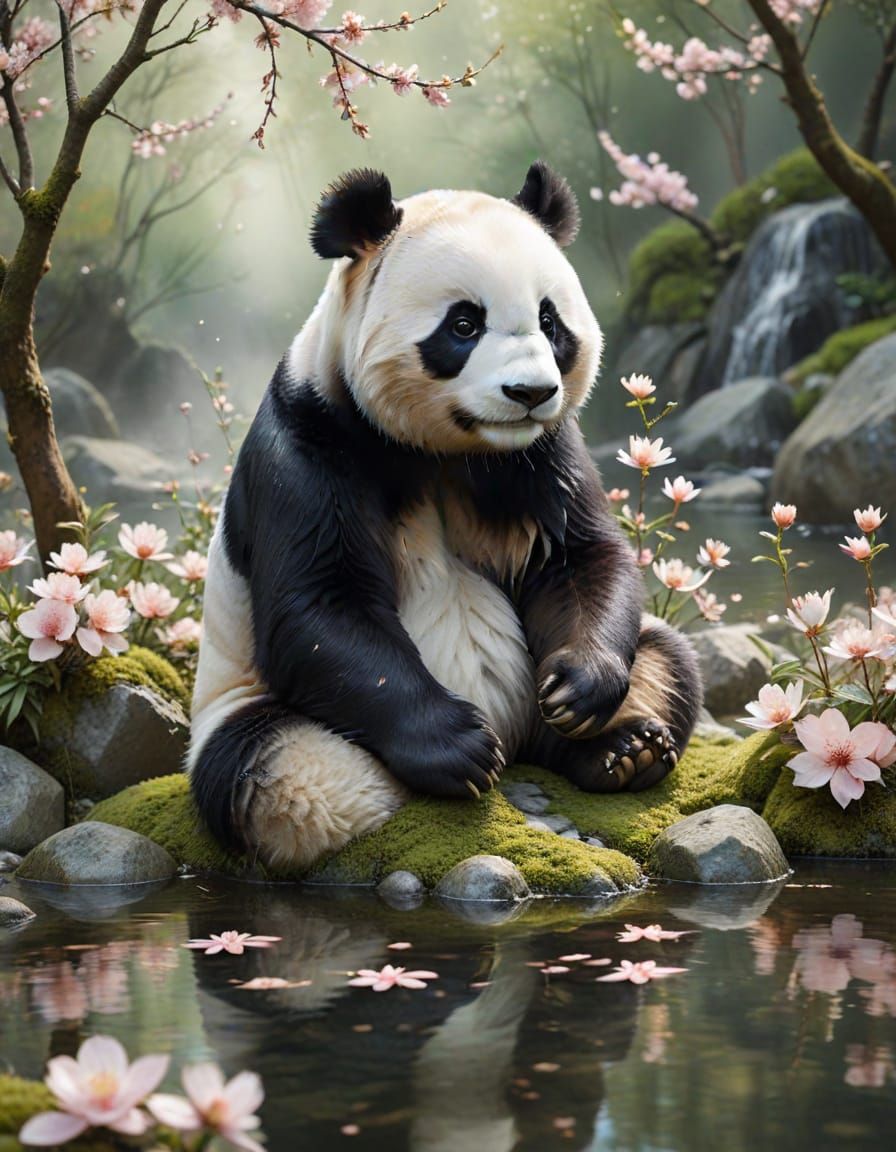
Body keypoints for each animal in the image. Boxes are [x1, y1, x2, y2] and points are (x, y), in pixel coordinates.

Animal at [188, 163, 702, 872]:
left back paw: (622, 749)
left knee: (666, 659)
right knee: (283, 774)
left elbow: (580, 556)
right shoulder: (309, 444)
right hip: (243, 709)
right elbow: (321, 605)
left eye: (549, 320)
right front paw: (459, 746)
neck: (447, 449)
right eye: (464, 324)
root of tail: (520, 741)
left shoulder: (542, 454)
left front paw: (579, 688)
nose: (531, 393)